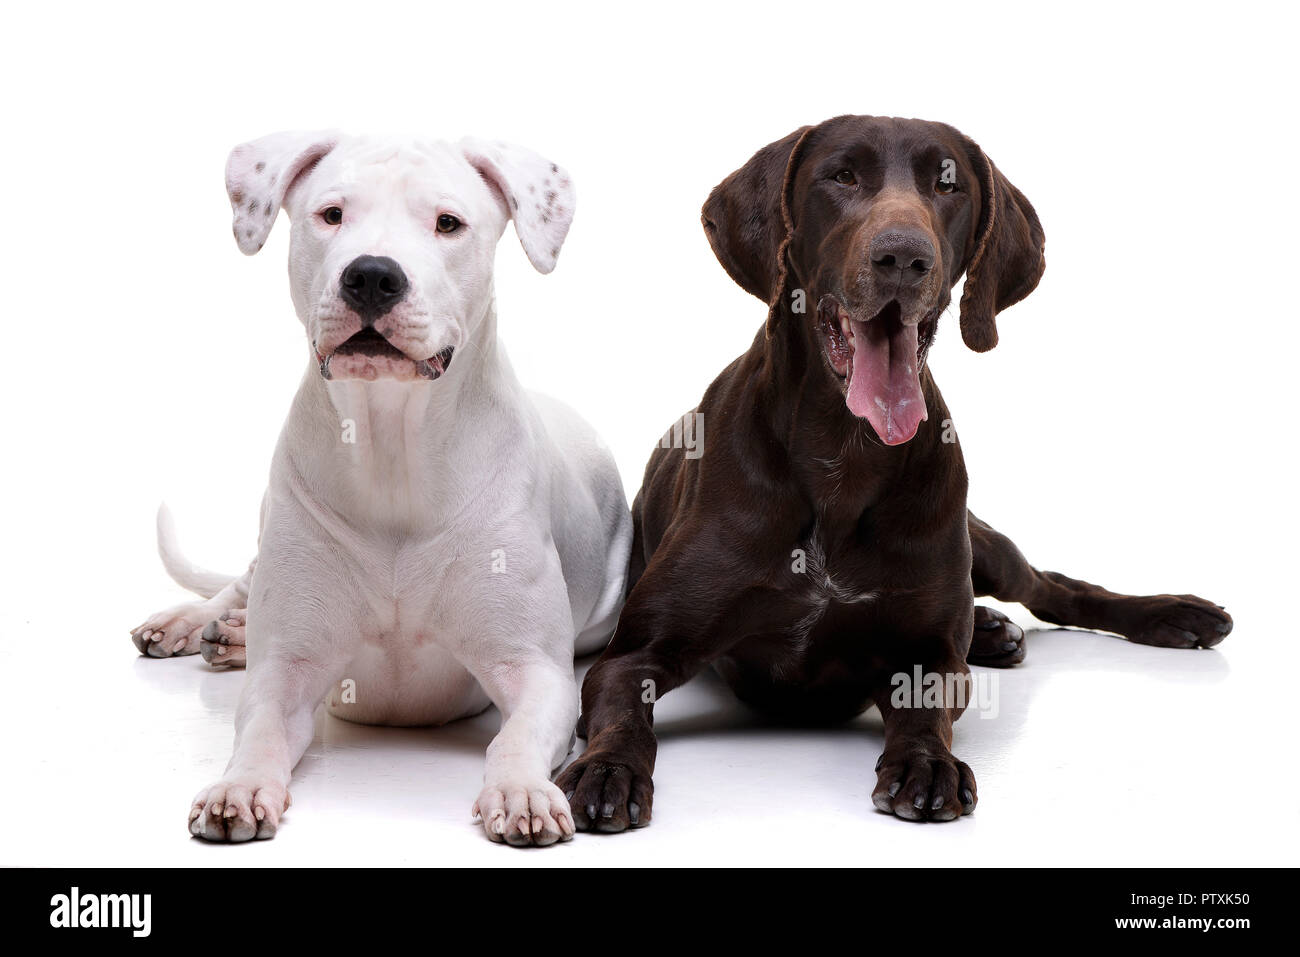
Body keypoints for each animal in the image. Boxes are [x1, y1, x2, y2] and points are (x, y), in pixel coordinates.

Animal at [130, 130, 634, 847]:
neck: (393, 444)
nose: (371, 274)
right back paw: (196, 625)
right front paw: (239, 786)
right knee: (238, 585)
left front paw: (523, 792)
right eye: (331, 214)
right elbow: (259, 728)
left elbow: (513, 737)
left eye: (448, 223)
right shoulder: (285, 673)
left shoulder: (537, 670)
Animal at [556, 113, 1227, 832]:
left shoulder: (929, 654)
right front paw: (607, 769)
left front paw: (927, 764)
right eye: (842, 176)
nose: (904, 257)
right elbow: (623, 709)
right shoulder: (637, 650)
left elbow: (927, 705)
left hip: (985, 543)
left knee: (1054, 586)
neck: (843, 455)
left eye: (948, 184)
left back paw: (1172, 614)